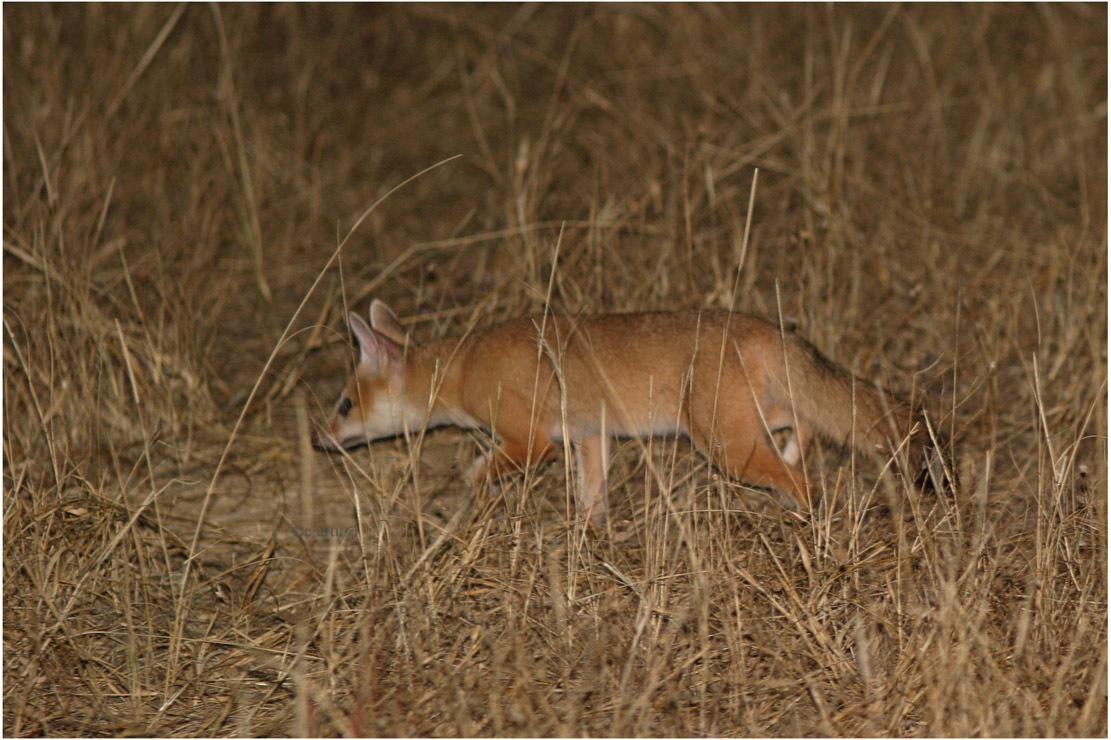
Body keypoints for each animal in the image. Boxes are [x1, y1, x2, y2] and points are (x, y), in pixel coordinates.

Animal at [312, 299, 944, 526]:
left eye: (343, 405)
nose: (320, 441)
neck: (464, 365)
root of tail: (765, 326)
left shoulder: (532, 442)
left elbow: (479, 471)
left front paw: (466, 494)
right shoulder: (590, 437)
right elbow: (590, 499)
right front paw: (588, 538)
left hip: (726, 446)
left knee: (806, 479)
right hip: (753, 423)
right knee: (806, 431)